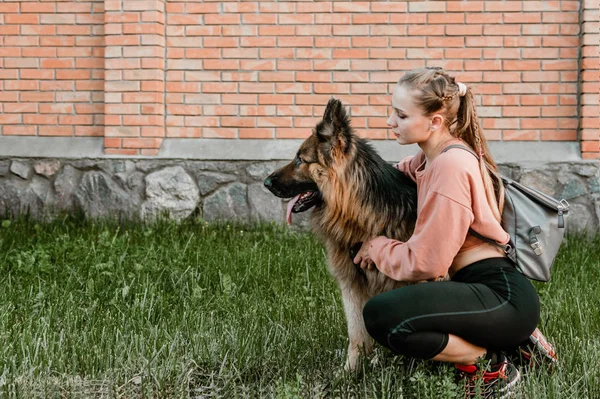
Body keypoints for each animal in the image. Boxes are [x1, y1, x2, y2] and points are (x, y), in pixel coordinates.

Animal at [264, 99, 420, 372]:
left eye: (300, 159)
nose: (266, 182)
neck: (361, 214)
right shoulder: (351, 283)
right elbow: (357, 334)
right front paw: (350, 372)